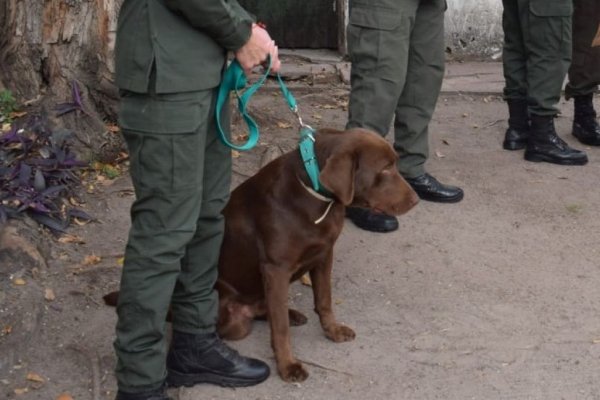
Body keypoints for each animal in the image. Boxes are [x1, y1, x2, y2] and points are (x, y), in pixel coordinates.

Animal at [104, 128, 418, 382]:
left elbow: (324, 300)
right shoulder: (276, 269)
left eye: (394, 164)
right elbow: (279, 327)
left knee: (268, 308)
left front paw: (332, 330)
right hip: (231, 315)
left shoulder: (324, 254)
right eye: (385, 170)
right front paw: (288, 365)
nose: (416, 200)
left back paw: (292, 313)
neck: (314, 194)